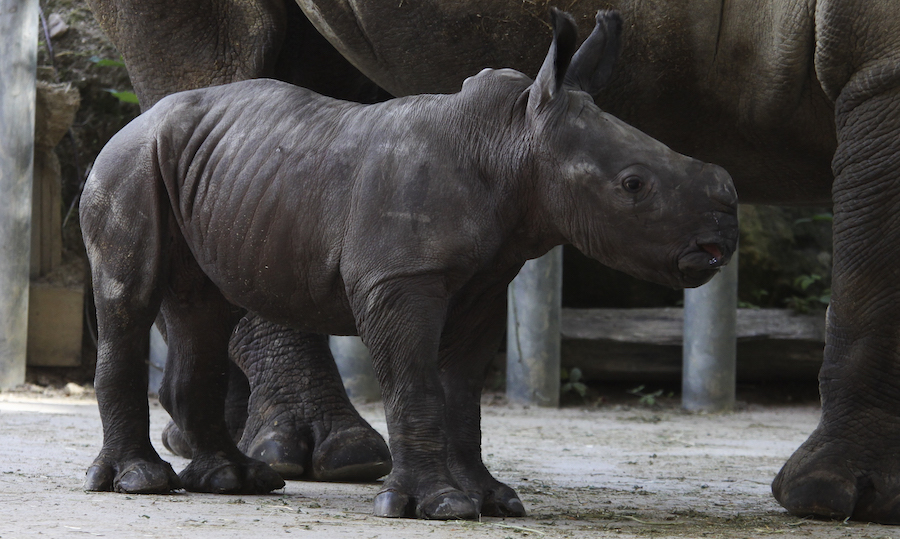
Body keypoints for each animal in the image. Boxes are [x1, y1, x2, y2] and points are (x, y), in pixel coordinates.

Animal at [80, 11, 738, 519]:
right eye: (634, 185)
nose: (723, 234)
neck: (512, 141)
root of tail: (135, 120)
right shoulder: (400, 278)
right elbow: (414, 384)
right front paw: (438, 507)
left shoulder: (485, 281)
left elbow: (462, 395)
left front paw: (494, 500)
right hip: (128, 162)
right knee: (129, 295)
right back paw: (140, 483)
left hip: (213, 172)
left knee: (206, 310)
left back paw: (234, 481)